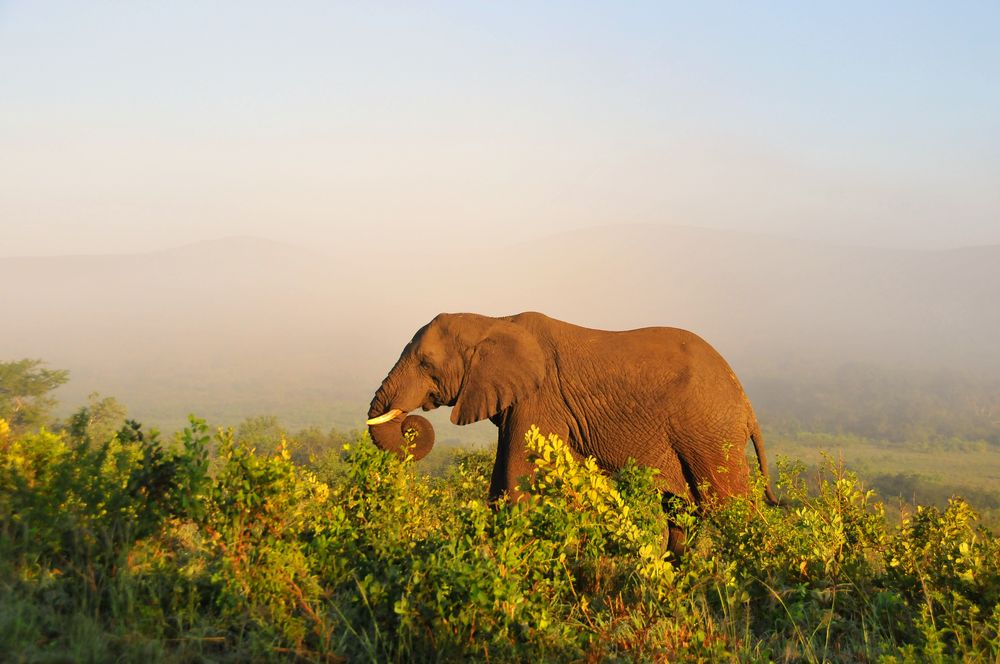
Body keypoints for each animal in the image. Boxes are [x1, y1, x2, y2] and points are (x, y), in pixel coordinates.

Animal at [368, 312, 780, 508]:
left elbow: (519, 476)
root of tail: (745, 401)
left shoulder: (540, 398)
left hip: (709, 430)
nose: (410, 422)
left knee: (727, 504)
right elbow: (501, 479)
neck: (493, 321)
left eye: (425, 363)